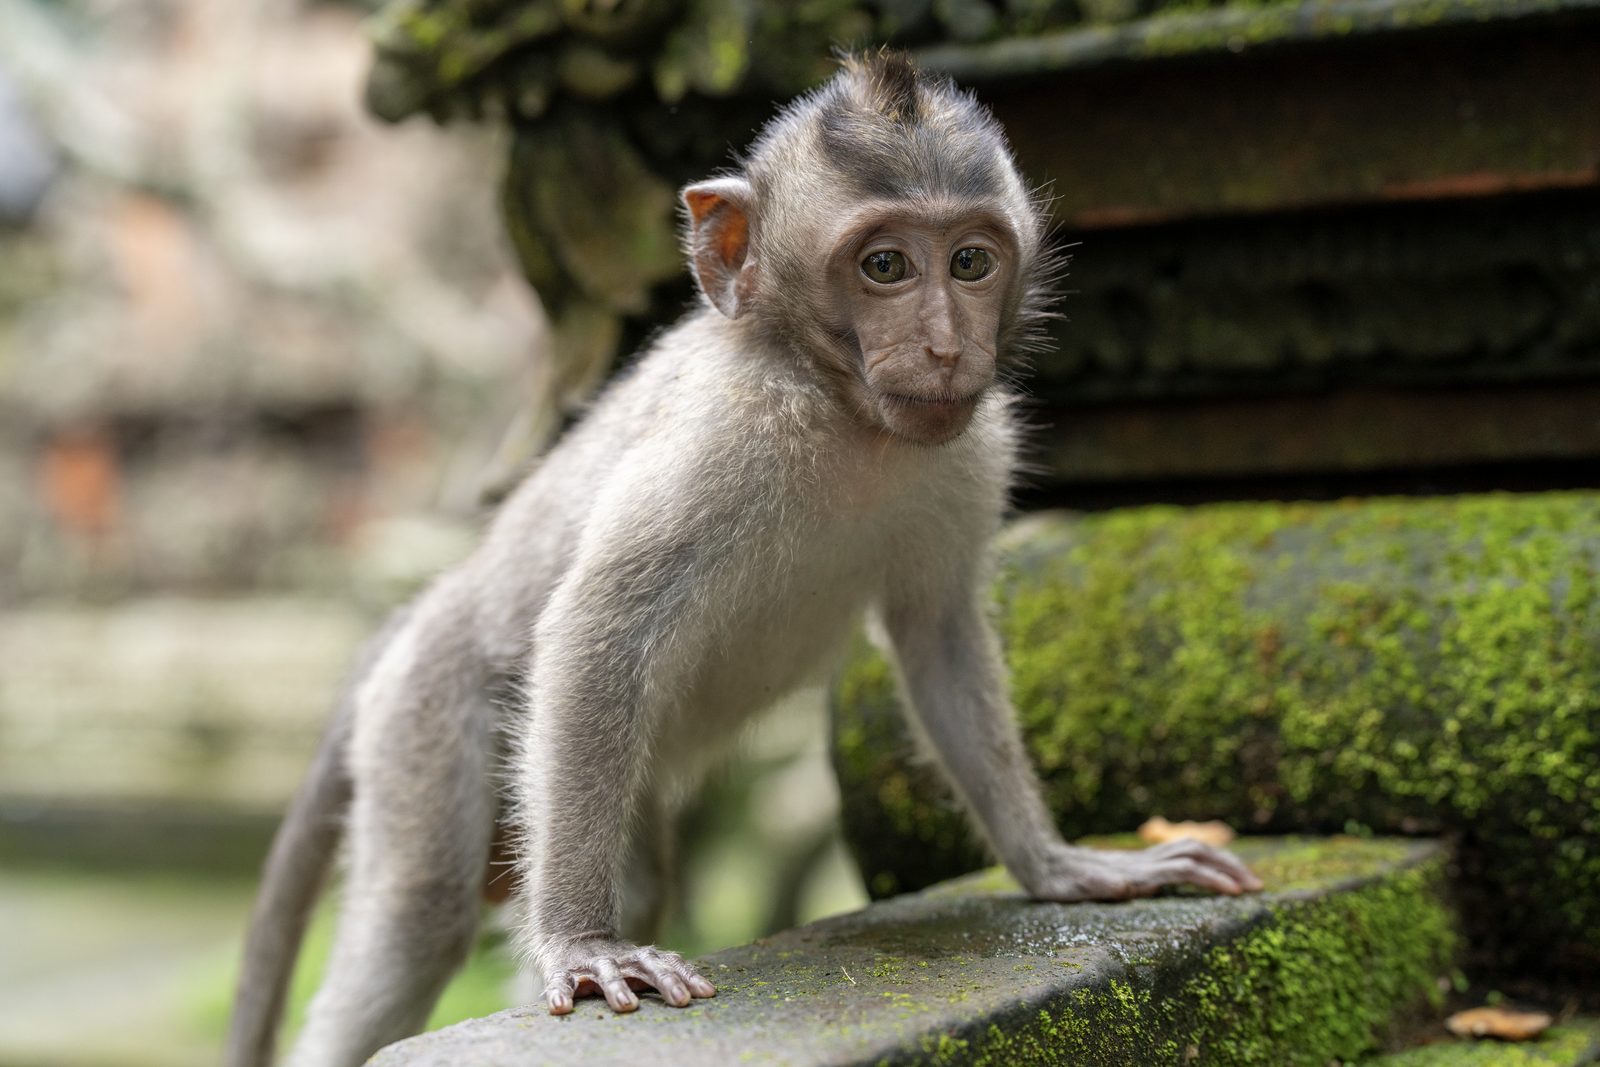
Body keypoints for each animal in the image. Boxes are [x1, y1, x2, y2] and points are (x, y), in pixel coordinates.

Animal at [226, 52, 1263, 1067]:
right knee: (418, 917)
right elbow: (598, 625)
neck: (845, 413)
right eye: (885, 266)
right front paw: (582, 943)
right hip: (426, 719)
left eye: (971, 261)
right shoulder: (722, 438)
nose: (943, 345)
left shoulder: (971, 451)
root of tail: (425, 610)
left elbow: (939, 636)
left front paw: (1060, 865)